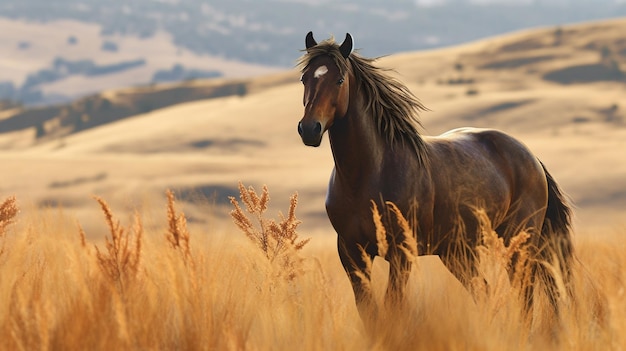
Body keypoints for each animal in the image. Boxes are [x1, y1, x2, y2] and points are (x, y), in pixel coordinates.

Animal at [294, 31, 572, 320]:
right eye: (305, 78)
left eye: (339, 80)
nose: (310, 129)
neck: (368, 174)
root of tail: (531, 157)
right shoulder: (351, 253)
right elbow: (369, 311)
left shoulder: (401, 253)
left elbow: (394, 305)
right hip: (458, 253)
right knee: (486, 292)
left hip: (518, 242)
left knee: (525, 294)